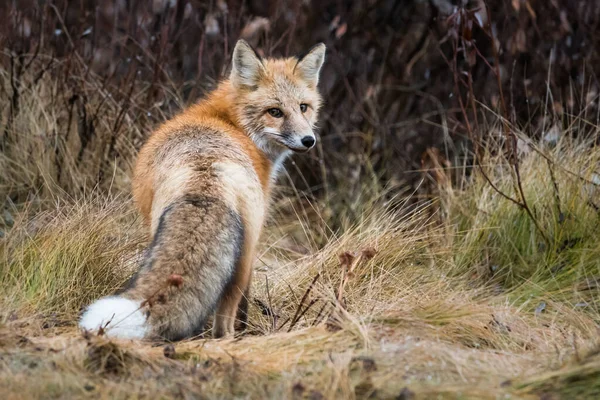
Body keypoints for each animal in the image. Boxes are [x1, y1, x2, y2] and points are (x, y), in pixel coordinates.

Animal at [79, 39, 326, 340]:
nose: (308, 140)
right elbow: (245, 303)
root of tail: (206, 172)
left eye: (304, 107)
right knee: (225, 318)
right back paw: (228, 339)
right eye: (275, 111)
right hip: (243, 256)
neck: (233, 124)